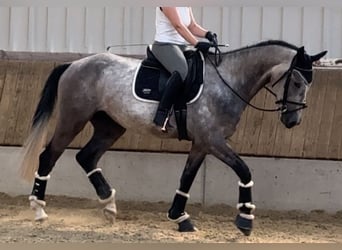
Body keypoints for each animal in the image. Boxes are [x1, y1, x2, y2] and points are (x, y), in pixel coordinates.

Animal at [20, 40, 326, 235]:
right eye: (296, 81)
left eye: (309, 84)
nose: (293, 121)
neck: (228, 81)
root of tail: (74, 64)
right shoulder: (213, 140)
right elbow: (244, 170)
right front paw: (245, 219)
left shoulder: (202, 143)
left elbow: (187, 178)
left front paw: (180, 218)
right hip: (72, 120)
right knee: (48, 156)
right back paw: (39, 209)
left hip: (110, 126)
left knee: (87, 156)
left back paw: (109, 205)